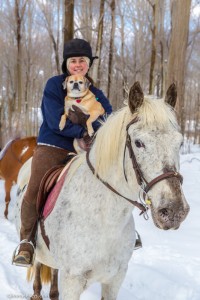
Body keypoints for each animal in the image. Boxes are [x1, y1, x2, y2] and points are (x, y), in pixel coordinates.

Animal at [15, 82, 189, 300]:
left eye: (180, 142)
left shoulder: (114, 280)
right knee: (38, 264)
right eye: (139, 143)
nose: (174, 211)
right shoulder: (73, 281)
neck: (107, 219)